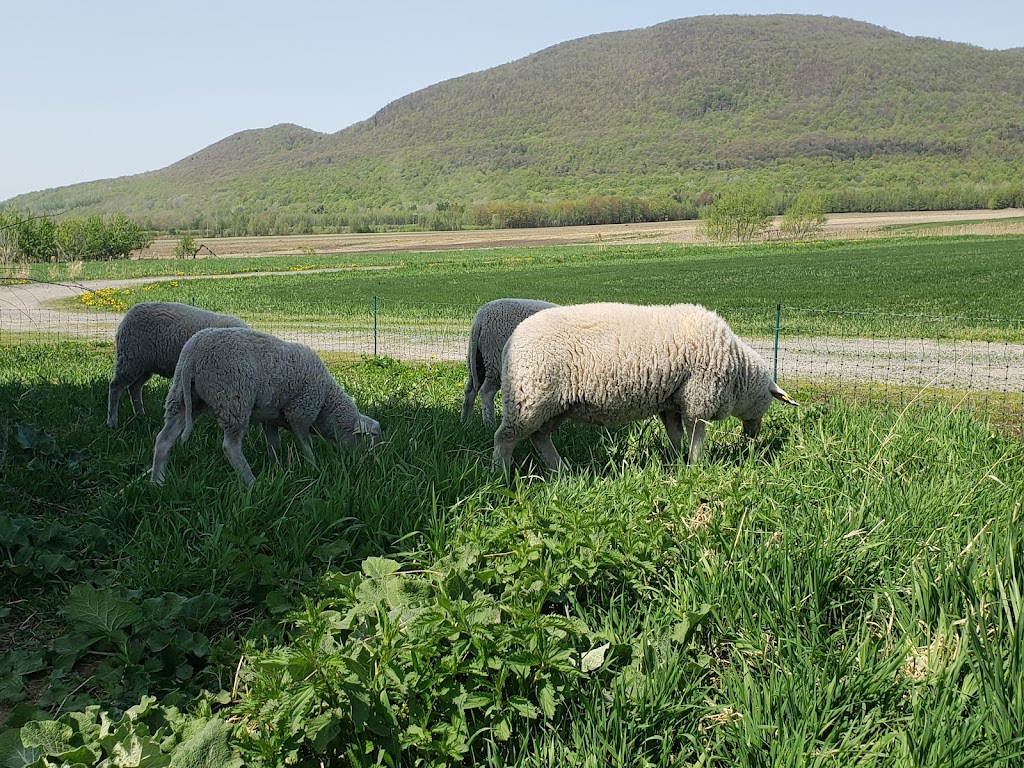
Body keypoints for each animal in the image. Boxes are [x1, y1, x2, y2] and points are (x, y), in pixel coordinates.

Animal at [106, 301, 247, 430]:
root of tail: (129, 314)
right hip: (130, 359)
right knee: (115, 387)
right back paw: (112, 422)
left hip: (143, 365)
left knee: (134, 388)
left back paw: (141, 416)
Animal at [148, 325, 380, 487]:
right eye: (364, 438)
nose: (365, 462)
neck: (326, 403)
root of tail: (192, 357)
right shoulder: (300, 413)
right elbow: (305, 443)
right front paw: (314, 466)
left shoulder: (271, 419)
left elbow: (274, 445)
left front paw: (276, 468)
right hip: (234, 400)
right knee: (230, 446)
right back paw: (251, 482)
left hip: (181, 399)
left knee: (164, 439)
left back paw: (158, 482)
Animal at [491, 303, 794, 473]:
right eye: (768, 402)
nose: (752, 436)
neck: (738, 372)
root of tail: (510, 342)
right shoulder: (698, 397)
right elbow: (696, 434)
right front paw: (697, 465)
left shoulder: (671, 402)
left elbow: (675, 435)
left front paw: (677, 461)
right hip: (529, 397)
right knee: (505, 437)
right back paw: (501, 474)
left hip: (555, 407)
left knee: (539, 436)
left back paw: (561, 471)